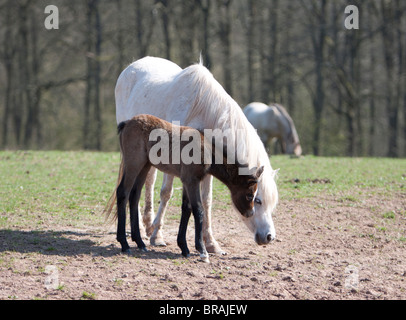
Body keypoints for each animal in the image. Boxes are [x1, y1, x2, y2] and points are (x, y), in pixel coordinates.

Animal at [114, 56, 280, 254]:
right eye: (257, 199)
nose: (269, 237)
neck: (203, 110)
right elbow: (166, 193)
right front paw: (158, 236)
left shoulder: (205, 170)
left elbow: (205, 201)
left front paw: (211, 243)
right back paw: (141, 230)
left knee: (145, 184)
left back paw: (146, 227)